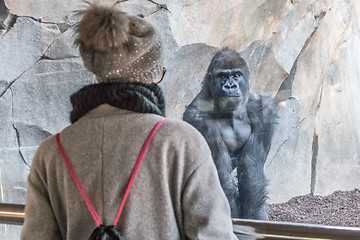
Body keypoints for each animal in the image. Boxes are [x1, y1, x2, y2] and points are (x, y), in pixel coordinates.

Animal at [184, 47, 278, 219]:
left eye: (236, 75)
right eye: (222, 76)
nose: (230, 86)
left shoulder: (262, 108)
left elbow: (251, 169)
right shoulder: (197, 116)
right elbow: (221, 174)